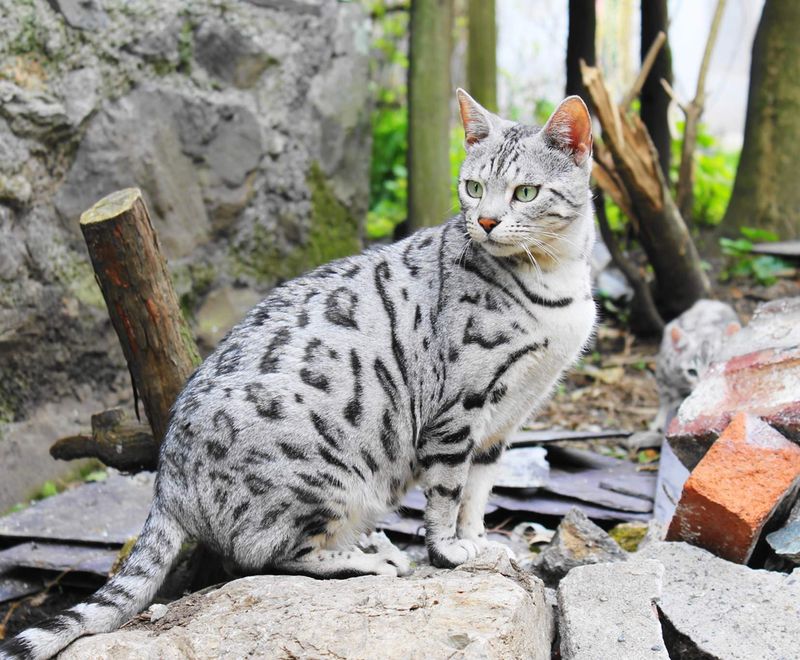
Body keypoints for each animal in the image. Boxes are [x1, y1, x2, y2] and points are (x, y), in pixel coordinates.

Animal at [0, 89, 596, 660]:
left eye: (525, 192)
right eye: (473, 187)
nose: (486, 221)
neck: (558, 281)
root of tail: (166, 477)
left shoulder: (504, 420)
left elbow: (478, 490)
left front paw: (481, 541)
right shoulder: (460, 407)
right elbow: (448, 491)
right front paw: (449, 550)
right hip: (323, 481)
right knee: (262, 556)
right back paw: (366, 559)